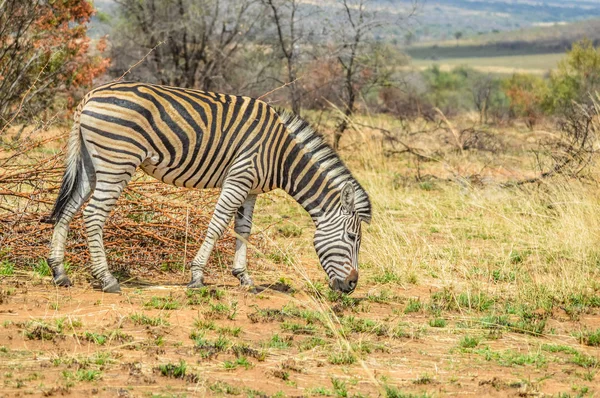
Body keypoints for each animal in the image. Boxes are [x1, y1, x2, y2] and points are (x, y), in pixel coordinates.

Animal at [47, 81, 372, 292]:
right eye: (352, 237)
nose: (352, 285)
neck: (281, 154)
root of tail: (90, 95)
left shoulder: (251, 188)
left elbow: (243, 229)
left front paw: (244, 278)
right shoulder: (239, 176)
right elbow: (217, 226)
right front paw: (197, 277)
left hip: (91, 164)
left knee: (69, 209)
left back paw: (59, 273)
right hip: (117, 162)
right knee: (93, 215)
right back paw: (107, 279)